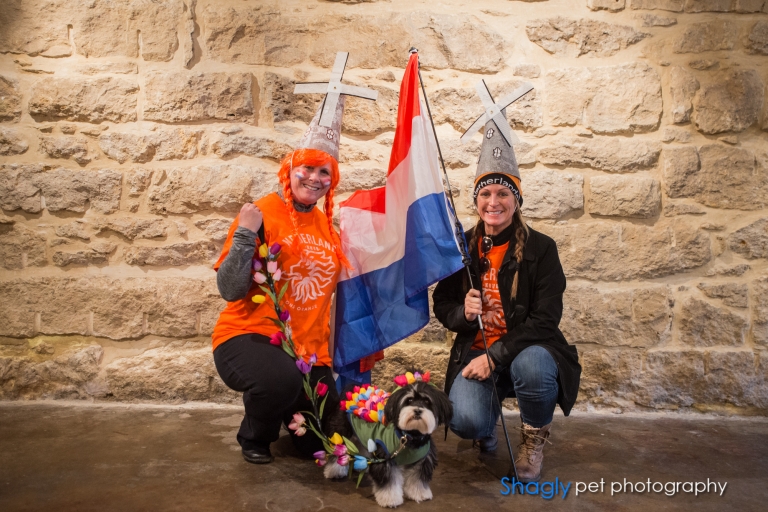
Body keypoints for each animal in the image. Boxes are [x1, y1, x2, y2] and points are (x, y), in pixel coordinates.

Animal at [323, 377, 453, 508]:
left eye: (427, 401)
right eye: (409, 400)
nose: (417, 410)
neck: (410, 436)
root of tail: (350, 392)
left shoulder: (423, 460)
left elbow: (417, 479)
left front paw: (419, 493)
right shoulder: (385, 459)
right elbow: (389, 482)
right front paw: (390, 499)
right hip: (340, 435)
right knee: (336, 454)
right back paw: (334, 471)